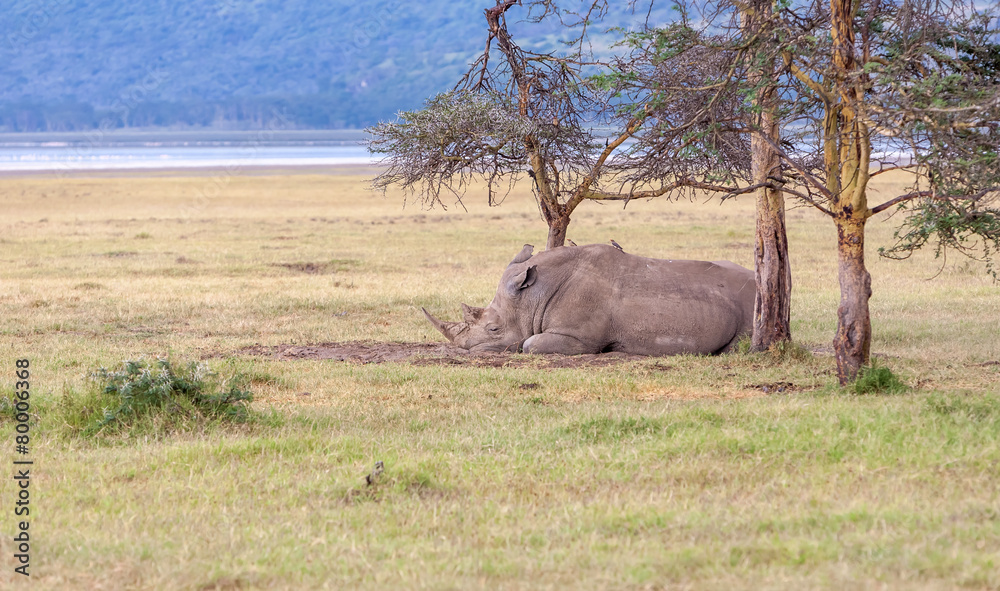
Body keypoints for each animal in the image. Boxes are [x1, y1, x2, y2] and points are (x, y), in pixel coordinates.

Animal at [423, 243, 755, 356]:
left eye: (493, 329)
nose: (465, 349)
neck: (533, 295)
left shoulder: (580, 338)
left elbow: (529, 344)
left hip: (751, 300)